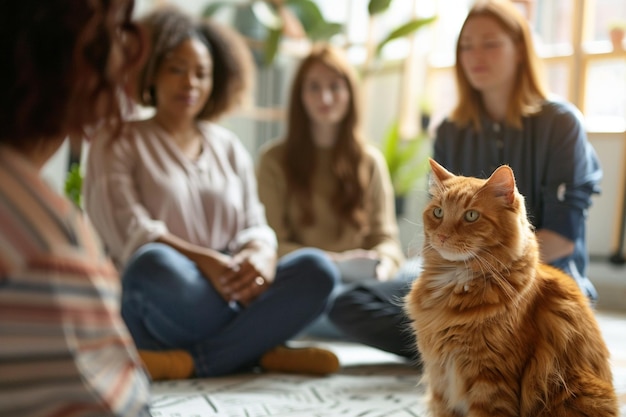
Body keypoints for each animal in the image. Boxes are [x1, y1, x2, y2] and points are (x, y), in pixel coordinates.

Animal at [404, 158, 616, 416]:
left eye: (471, 216)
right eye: (438, 212)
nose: (442, 236)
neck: (454, 279)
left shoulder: (490, 383)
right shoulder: (440, 383)